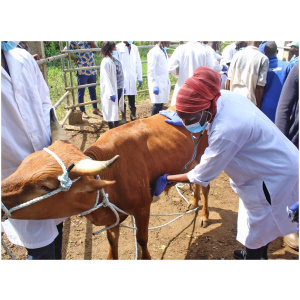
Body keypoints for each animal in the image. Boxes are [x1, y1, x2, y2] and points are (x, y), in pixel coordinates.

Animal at [1, 106, 209, 258]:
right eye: (23, 164)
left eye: (44, 186)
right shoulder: (113, 218)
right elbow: (112, 244)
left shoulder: (143, 208)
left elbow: (142, 239)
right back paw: (194, 201)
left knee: (205, 186)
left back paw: (204, 215)